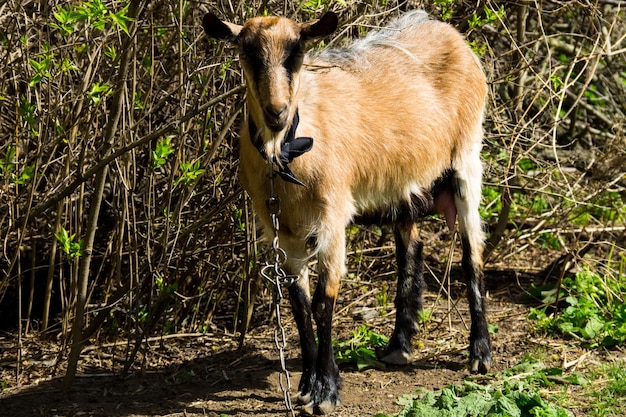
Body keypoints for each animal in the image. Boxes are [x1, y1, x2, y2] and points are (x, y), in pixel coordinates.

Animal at [202, 8, 490, 412]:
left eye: (297, 53)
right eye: (248, 54)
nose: (277, 112)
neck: (287, 151)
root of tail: (447, 31)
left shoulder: (332, 216)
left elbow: (323, 301)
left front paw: (326, 390)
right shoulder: (283, 230)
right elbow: (298, 303)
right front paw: (306, 382)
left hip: (466, 157)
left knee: (472, 252)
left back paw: (480, 352)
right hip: (402, 181)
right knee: (410, 248)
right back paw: (399, 345)